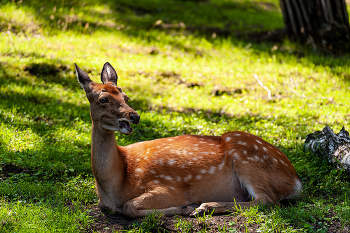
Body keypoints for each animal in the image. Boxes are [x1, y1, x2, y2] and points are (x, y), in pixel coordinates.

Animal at [75, 62, 302, 218]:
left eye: (126, 97)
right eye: (103, 99)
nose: (134, 116)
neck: (115, 183)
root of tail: (295, 181)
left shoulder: (167, 187)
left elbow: (128, 207)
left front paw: (184, 207)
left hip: (246, 156)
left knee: (267, 200)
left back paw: (205, 207)